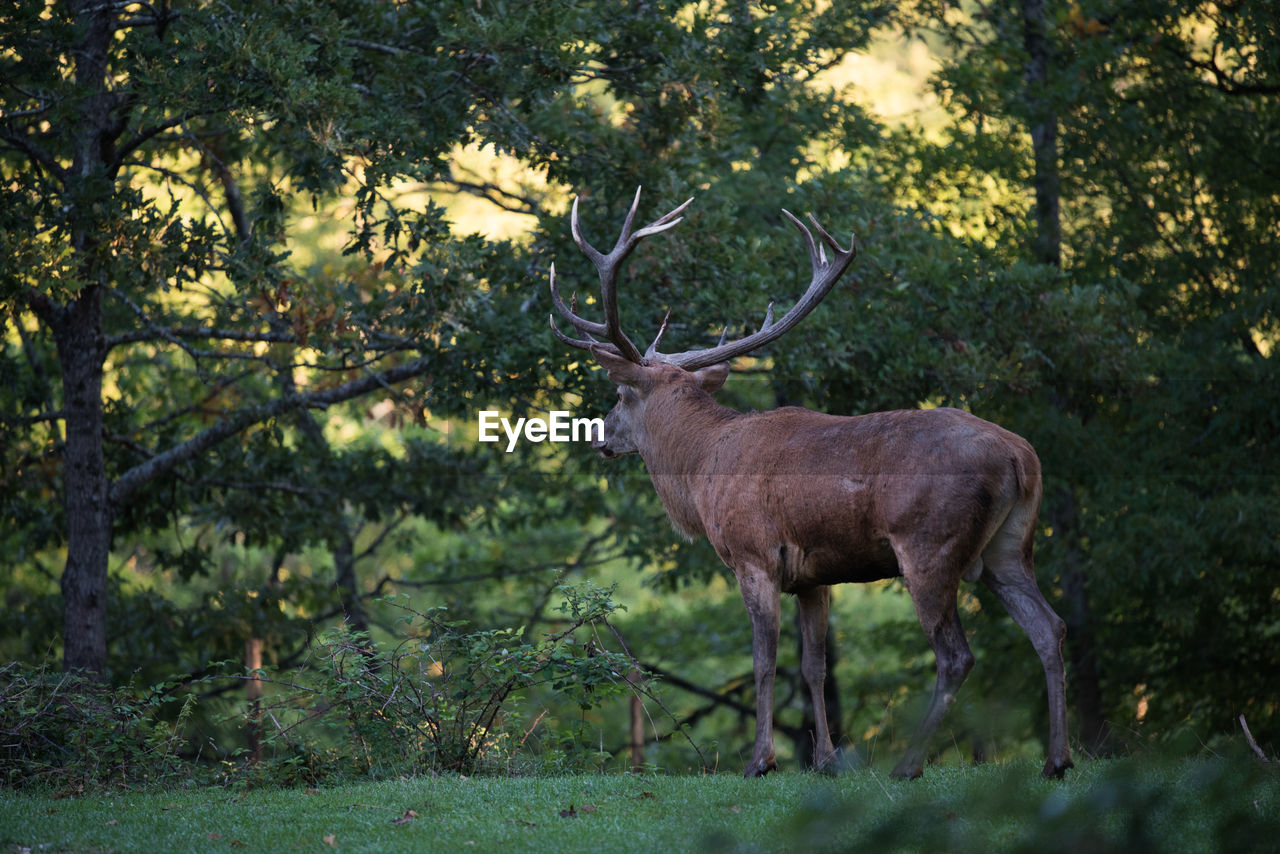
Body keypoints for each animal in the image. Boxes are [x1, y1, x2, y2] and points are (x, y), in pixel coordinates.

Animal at [547, 188, 1070, 783]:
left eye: (619, 396)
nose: (600, 438)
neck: (702, 471)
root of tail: (1020, 456)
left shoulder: (753, 554)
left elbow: (764, 661)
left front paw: (761, 761)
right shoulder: (813, 575)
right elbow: (814, 666)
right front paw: (824, 759)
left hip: (929, 544)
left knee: (956, 654)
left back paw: (909, 764)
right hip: (1010, 546)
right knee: (1050, 628)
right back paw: (1057, 759)